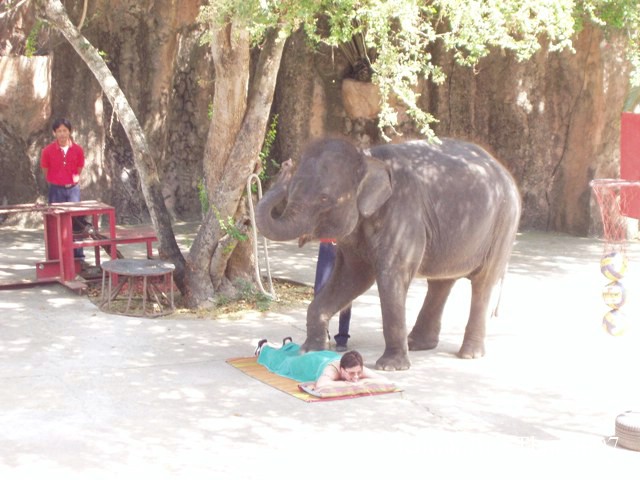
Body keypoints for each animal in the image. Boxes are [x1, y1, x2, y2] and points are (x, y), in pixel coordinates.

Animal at [255, 137, 521, 370]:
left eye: (324, 199)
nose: (285, 167)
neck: (368, 157)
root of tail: (504, 170)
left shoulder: (403, 215)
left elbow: (389, 278)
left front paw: (390, 367)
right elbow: (352, 277)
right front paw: (309, 351)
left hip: (504, 223)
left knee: (483, 283)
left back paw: (468, 354)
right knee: (441, 282)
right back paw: (417, 344)